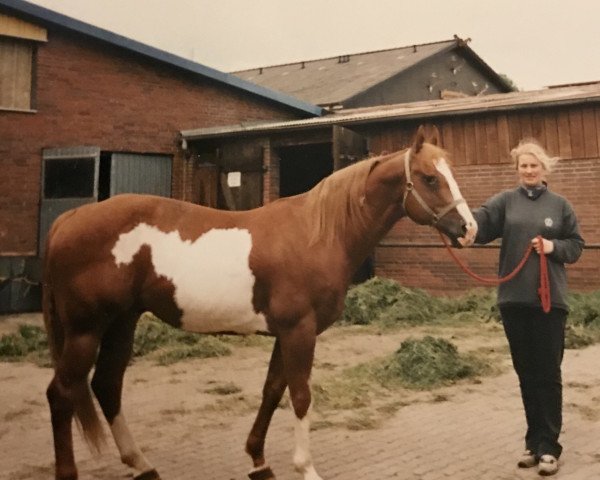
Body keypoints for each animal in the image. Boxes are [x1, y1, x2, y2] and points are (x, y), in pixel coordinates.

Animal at [42, 125, 478, 478]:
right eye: (429, 178)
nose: (468, 229)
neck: (318, 234)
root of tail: (68, 219)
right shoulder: (299, 330)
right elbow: (301, 396)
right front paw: (306, 468)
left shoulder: (284, 333)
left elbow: (272, 391)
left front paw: (259, 461)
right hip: (85, 330)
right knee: (62, 394)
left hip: (123, 321)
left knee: (106, 385)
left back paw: (142, 464)